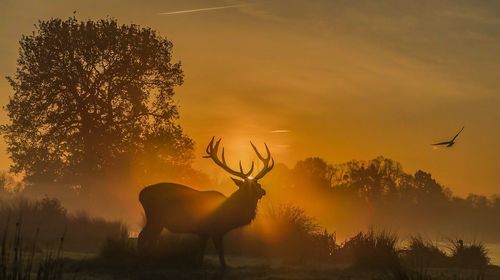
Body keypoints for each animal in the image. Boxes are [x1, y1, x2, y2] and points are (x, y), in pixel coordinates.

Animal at [138, 137, 274, 268]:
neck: (229, 215)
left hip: (158, 222)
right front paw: (224, 267)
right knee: (141, 237)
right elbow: (220, 252)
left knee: (151, 240)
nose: (264, 191)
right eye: (248, 186)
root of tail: (141, 194)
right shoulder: (214, 229)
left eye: (258, 184)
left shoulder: (204, 231)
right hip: (155, 218)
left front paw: (199, 265)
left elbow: (202, 251)